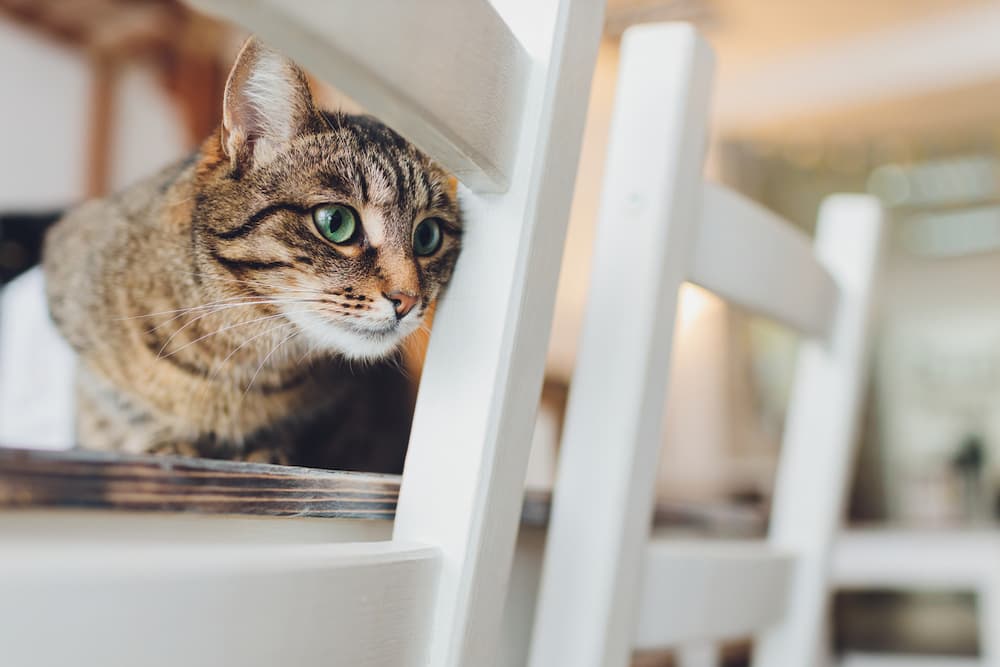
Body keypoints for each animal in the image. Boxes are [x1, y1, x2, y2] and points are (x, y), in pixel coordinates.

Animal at [39, 36, 460, 472]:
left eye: (427, 236)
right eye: (336, 222)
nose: (408, 299)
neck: (240, 360)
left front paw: (267, 447)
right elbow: (123, 410)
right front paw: (168, 441)